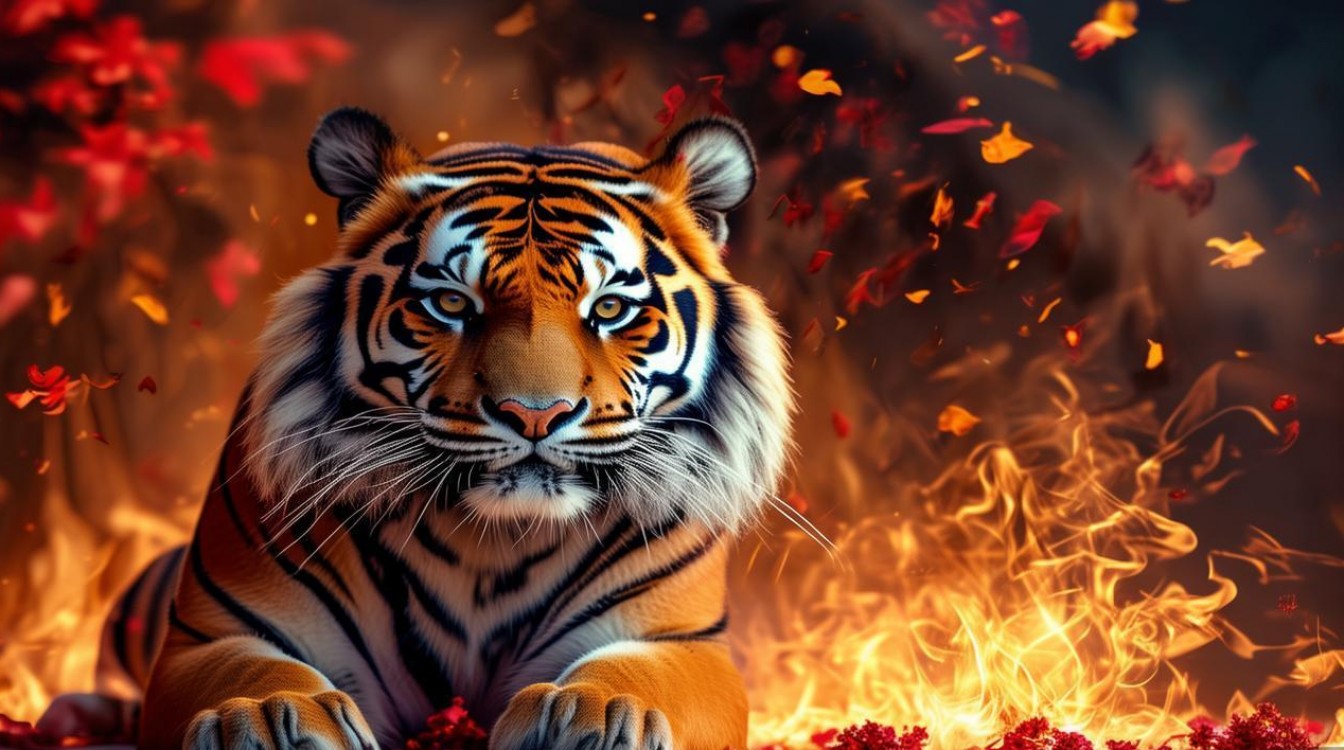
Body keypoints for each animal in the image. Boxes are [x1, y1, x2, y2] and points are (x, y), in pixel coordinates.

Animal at [41, 106, 797, 750]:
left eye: (609, 308)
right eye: (451, 304)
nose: (535, 414)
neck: (492, 541)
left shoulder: (683, 642)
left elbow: (640, 677)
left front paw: (601, 715)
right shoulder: (214, 633)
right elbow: (248, 673)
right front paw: (261, 718)